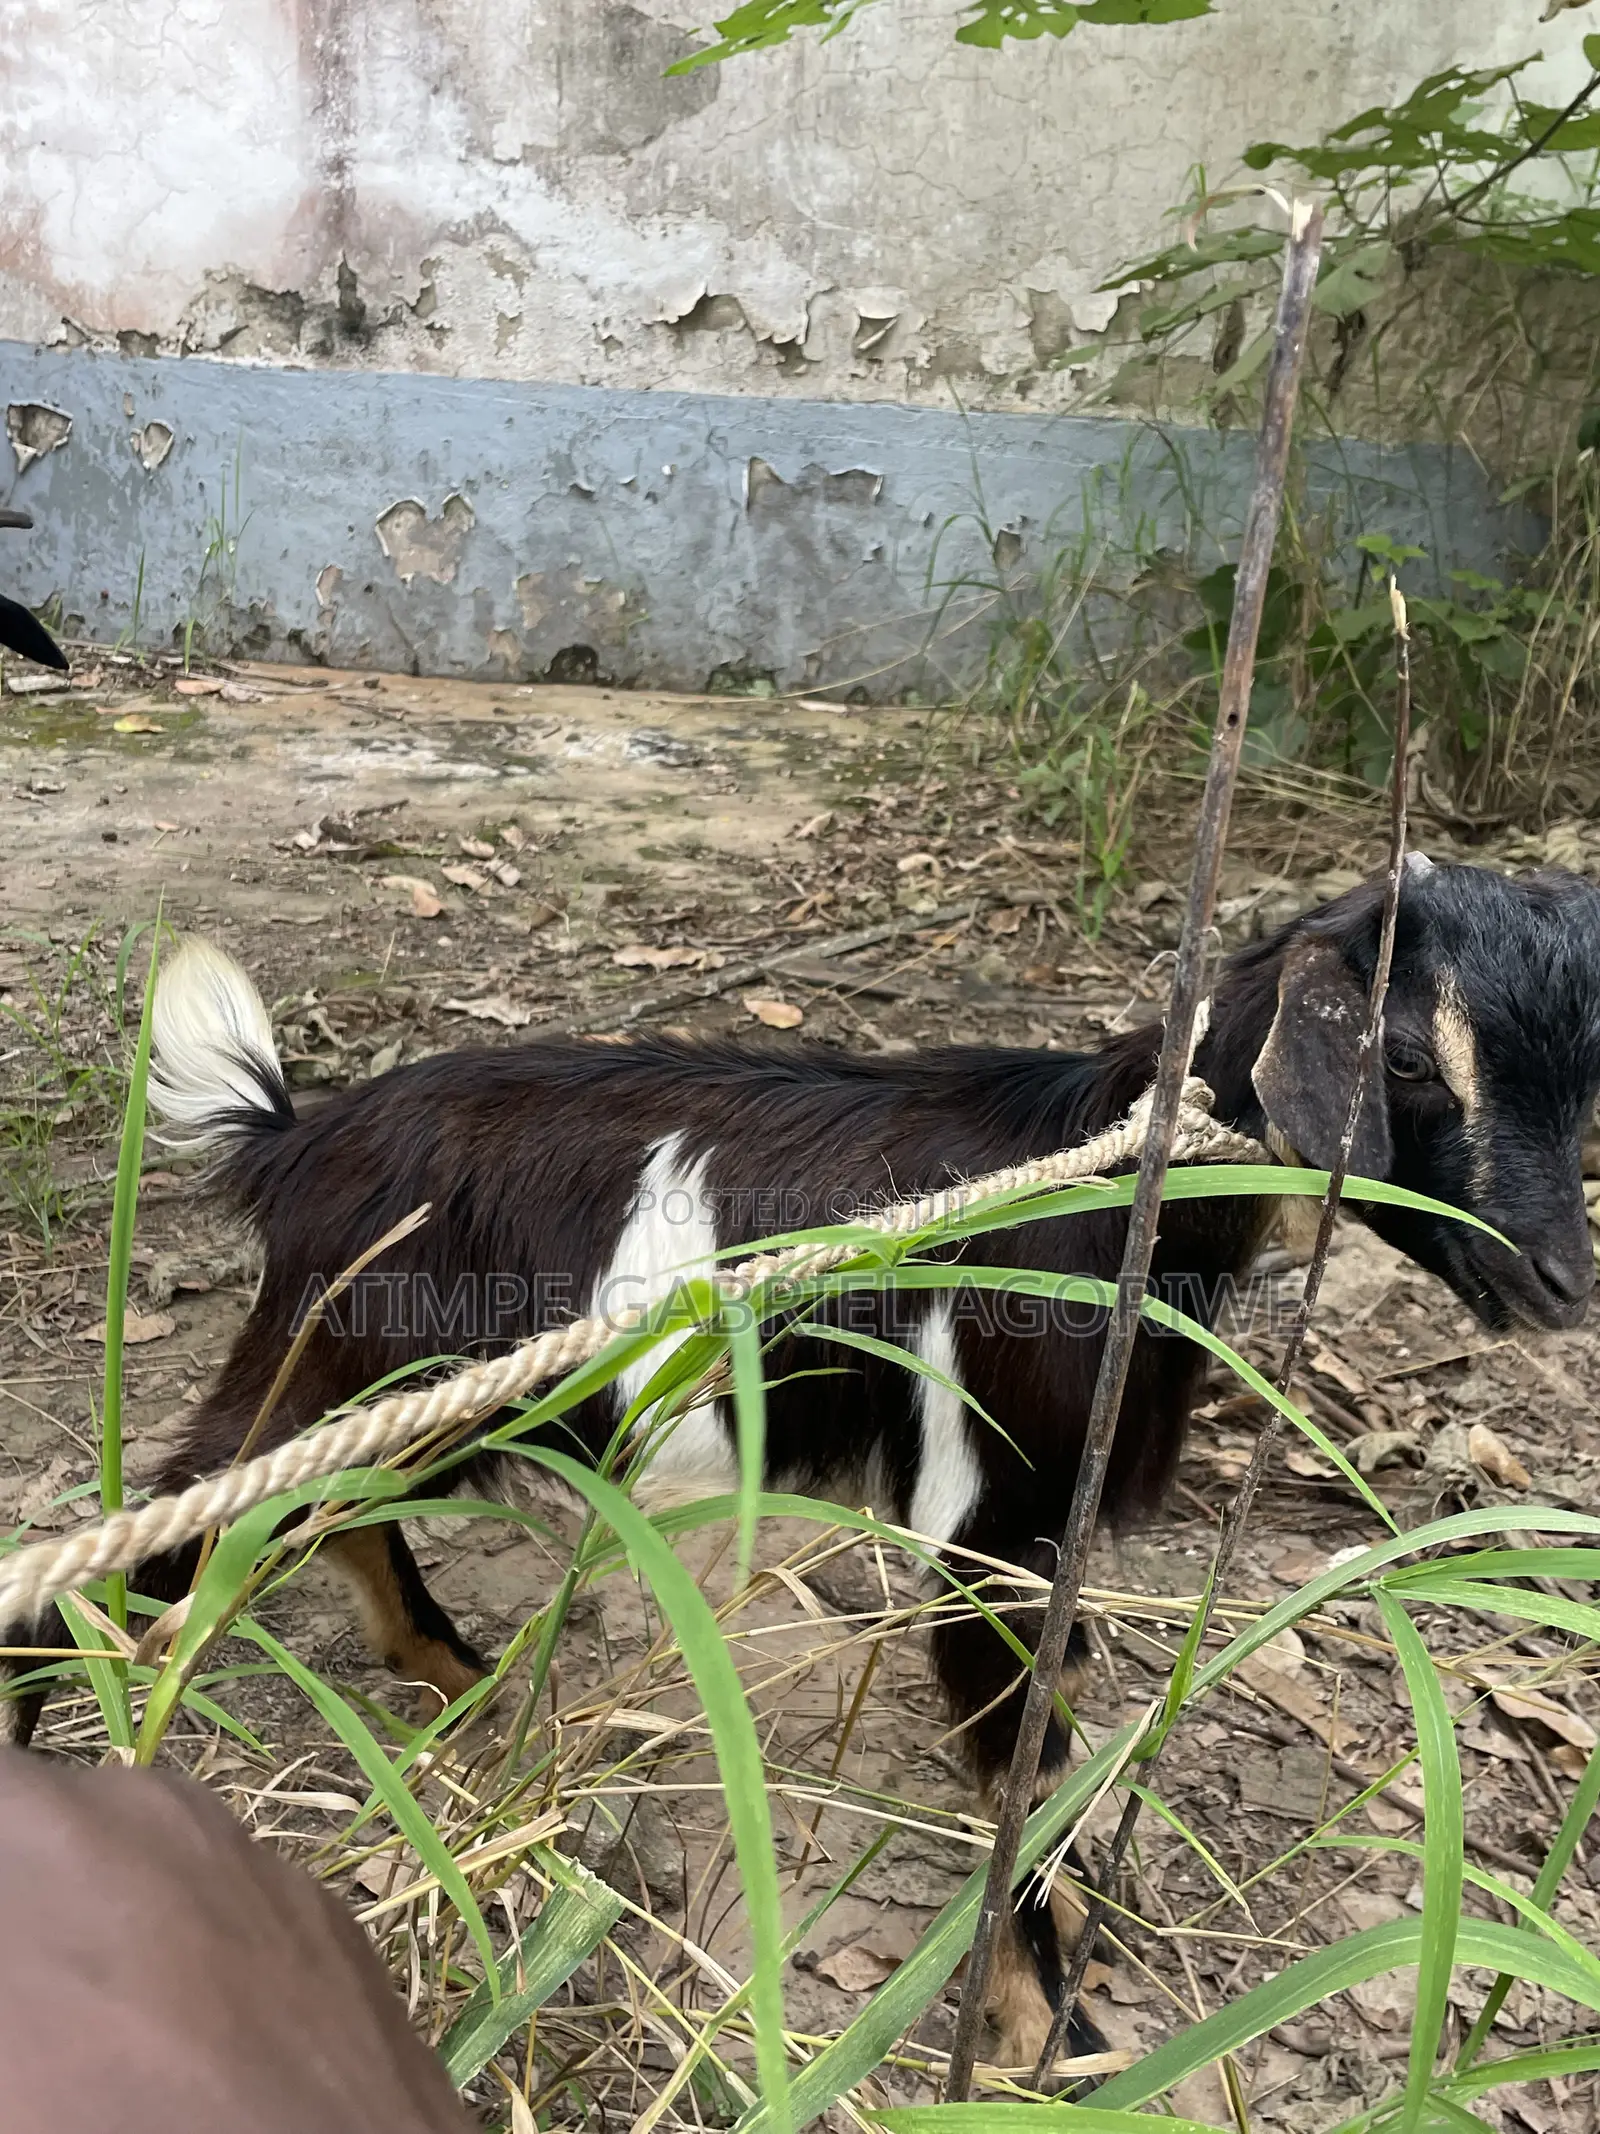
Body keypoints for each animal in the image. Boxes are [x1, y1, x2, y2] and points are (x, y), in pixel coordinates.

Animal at [6, 858, 1600, 2067]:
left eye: (1580, 1087)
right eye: (1409, 1060)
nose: (1558, 1284)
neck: (1120, 1189)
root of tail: (297, 1136)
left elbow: (1061, 1739)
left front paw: (1076, 1948)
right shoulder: (980, 1524)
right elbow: (1017, 1766)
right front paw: (1050, 2035)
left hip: (416, 1402)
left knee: (323, 1514)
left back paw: (461, 1678)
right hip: (345, 1365)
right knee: (174, 1522)